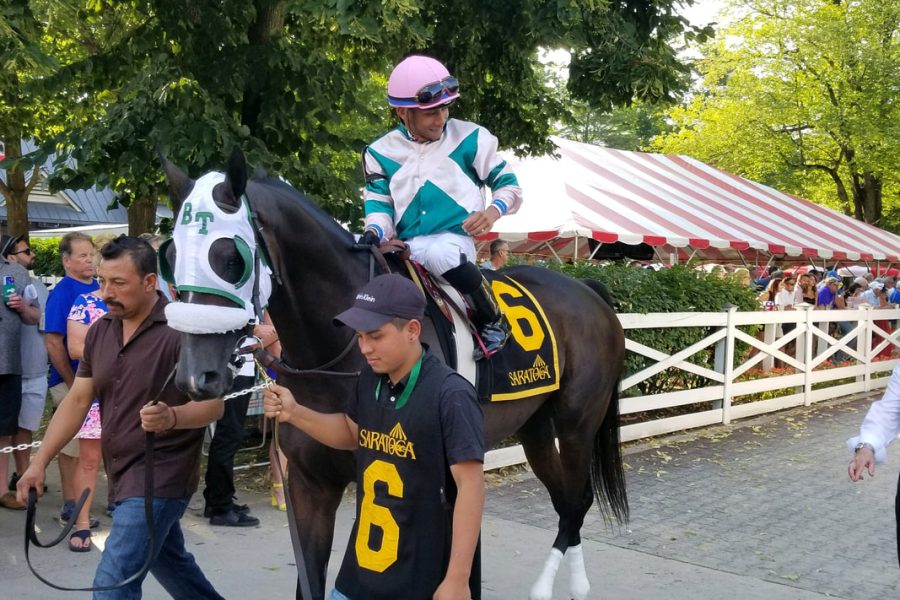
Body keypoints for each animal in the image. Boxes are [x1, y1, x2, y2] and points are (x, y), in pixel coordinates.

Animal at [160, 149, 627, 600]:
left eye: (231, 257)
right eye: (171, 257)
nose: (195, 377)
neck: (340, 350)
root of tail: (587, 289)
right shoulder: (311, 486)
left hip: (576, 424)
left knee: (578, 500)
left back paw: (558, 586)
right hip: (536, 427)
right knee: (566, 500)